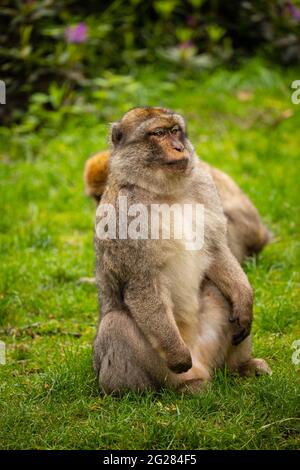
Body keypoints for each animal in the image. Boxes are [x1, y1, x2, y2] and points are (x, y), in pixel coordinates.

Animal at [92, 105, 272, 392]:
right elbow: (142, 282)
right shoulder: (123, 214)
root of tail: (203, 368)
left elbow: (216, 251)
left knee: (218, 291)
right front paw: (177, 355)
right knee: (115, 323)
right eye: (158, 133)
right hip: (160, 371)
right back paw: (151, 393)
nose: (179, 147)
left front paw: (245, 302)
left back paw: (240, 368)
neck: (165, 192)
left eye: (175, 130)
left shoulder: (204, 185)